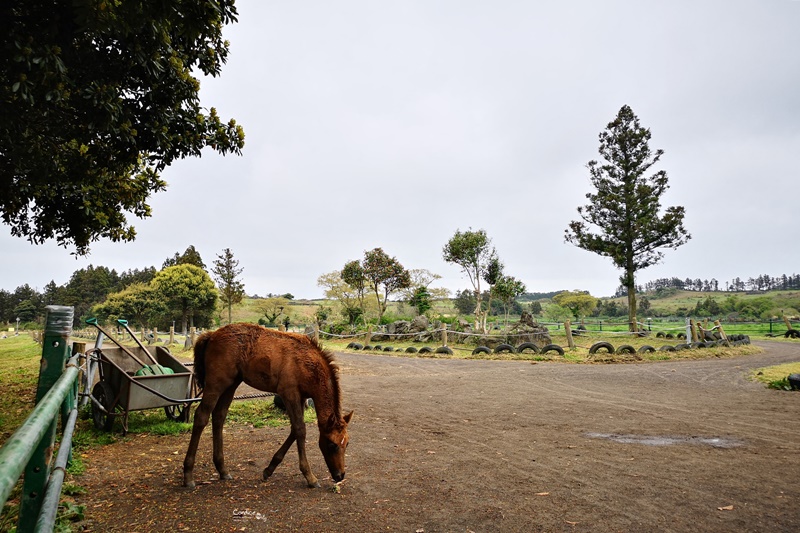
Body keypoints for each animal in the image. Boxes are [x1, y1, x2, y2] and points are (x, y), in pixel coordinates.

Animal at [186, 322, 354, 488]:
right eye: (332, 444)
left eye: (347, 444)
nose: (340, 475)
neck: (307, 364)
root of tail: (212, 335)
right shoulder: (289, 394)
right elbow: (300, 430)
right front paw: (310, 477)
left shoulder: (300, 397)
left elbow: (295, 430)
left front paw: (269, 469)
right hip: (216, 383)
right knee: (201, 416)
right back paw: (188, 475)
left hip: (231, 384)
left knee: (219, 416)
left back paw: (222, 470)